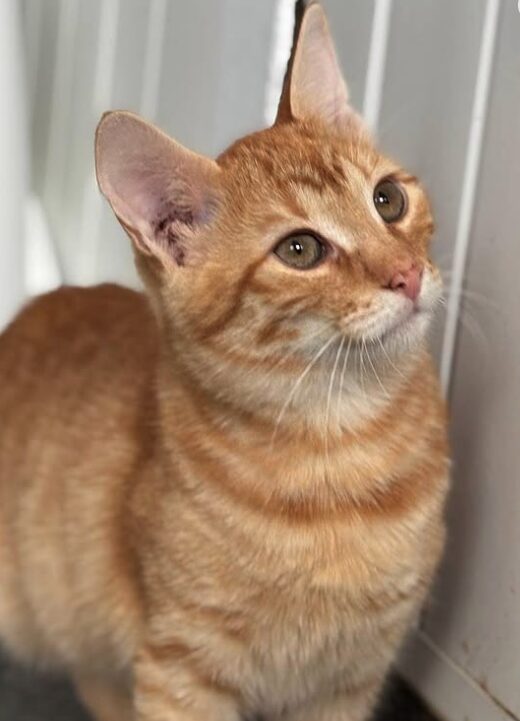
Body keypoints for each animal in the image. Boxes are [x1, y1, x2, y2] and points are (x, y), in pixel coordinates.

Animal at [0, 5, 448, 720]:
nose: (406, 274)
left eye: (387, 200)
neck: (342, 451)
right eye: (300, 249)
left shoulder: (348, 679)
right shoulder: (181, 669)